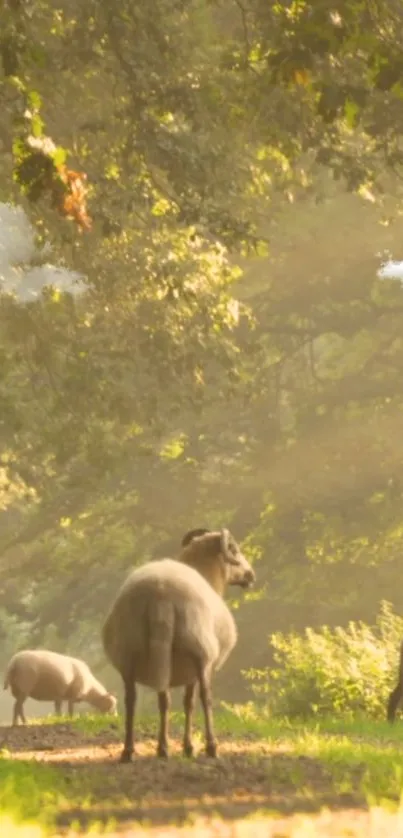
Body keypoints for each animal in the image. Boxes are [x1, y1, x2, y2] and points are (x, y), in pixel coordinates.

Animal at [104, 528, 256, 764]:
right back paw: (210, 747)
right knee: (205, 697)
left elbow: (183, 702)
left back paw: (134, 750)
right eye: (235, 550)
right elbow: (190, 702)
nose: (250, 575)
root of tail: (160, 598)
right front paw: (189, 747)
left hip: (129, 652)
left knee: (136, 700)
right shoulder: (194, 668)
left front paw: (186, 746)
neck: (208, 575)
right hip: (199, 650)